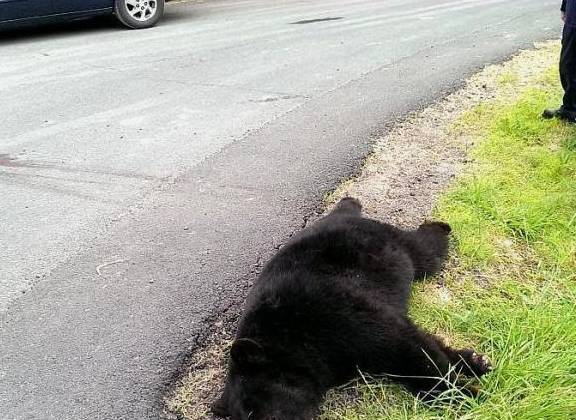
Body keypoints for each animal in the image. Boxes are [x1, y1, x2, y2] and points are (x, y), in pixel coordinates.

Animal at [212, 198, 490, 420]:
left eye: (255, 409)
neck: (291, 337)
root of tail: (343, 213)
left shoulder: (340, 316)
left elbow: (414, 353)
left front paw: (467, 395)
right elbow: (422, 342)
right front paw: (472, 362)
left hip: (401, 247)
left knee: (426, 248)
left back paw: (440, 226)